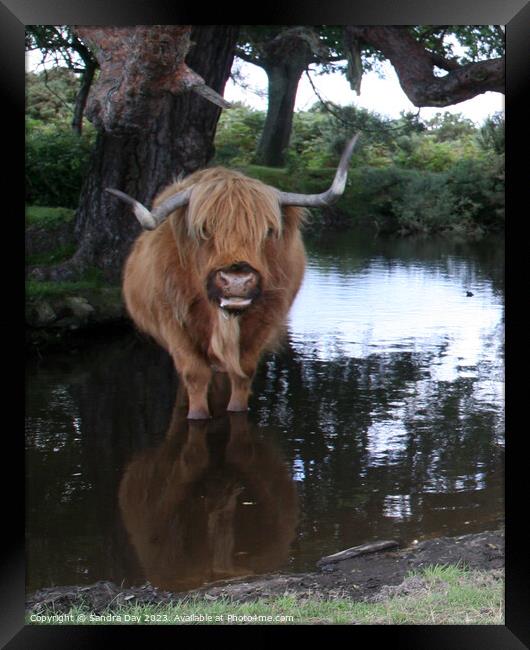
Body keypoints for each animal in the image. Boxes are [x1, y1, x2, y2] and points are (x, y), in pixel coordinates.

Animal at [105, 133, 356, 416]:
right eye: (204, 229)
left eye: (268, 230)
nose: (237, 281)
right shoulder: (172, 323)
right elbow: (194, 375)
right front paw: (197, 414)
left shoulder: (263, 323)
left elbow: (243, 374)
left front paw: (237, 408)